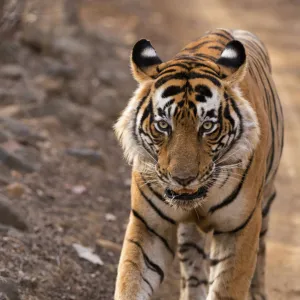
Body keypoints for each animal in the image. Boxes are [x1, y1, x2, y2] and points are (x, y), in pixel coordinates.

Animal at [113, 28, 284, 300]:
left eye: (208, 126)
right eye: (163, 125)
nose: (183, 179)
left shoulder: (240, 228)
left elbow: (227, 287)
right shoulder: (149, 225)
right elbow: (131, 281)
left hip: (265, 201)